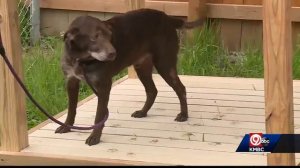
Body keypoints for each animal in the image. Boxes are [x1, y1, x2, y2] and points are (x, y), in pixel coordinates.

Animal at [56, 8, 204, 146]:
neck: (81, 60)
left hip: (165, 64)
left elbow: (99, 115)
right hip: (142, 67)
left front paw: (95, 137)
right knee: (152, 91)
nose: (113, 54)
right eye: (95, 37)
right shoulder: (71, 82)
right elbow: (71, 109)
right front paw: (66, 127)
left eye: (110, 36)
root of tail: (167, 18)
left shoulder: (104, 85)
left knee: (180, 88)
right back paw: (143, 112)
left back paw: (183, 115)